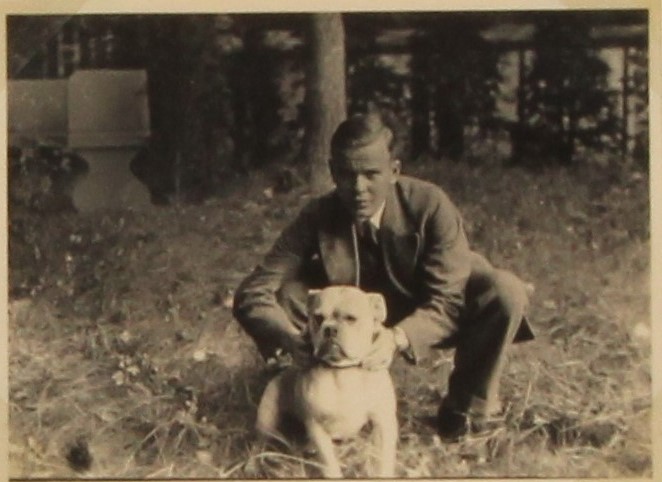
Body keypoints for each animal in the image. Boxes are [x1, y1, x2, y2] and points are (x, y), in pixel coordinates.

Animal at [256, 286, 398, 478]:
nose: (330, 329)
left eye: (351, 318)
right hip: (266, 421)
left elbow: (383, 461)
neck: (343, 371)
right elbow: (329, 464)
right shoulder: (317, 428)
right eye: (318, 318)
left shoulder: (383, 423)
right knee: (258, 446)